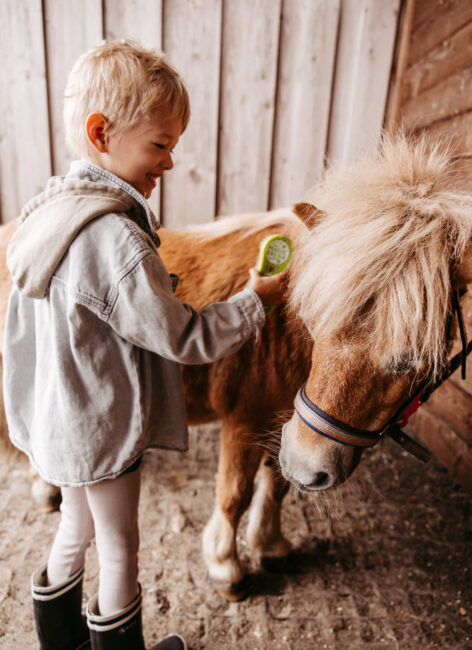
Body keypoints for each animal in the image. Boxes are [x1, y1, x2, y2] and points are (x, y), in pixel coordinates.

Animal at [0, 134, 472, 600]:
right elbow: (235, 493)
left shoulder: (285, 424)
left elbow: (278, 485)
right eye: (317, 320)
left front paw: (271, 545)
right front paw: (225, 565)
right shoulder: (246, 419)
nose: (313, 467)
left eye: (411, 357)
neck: (284, 331)